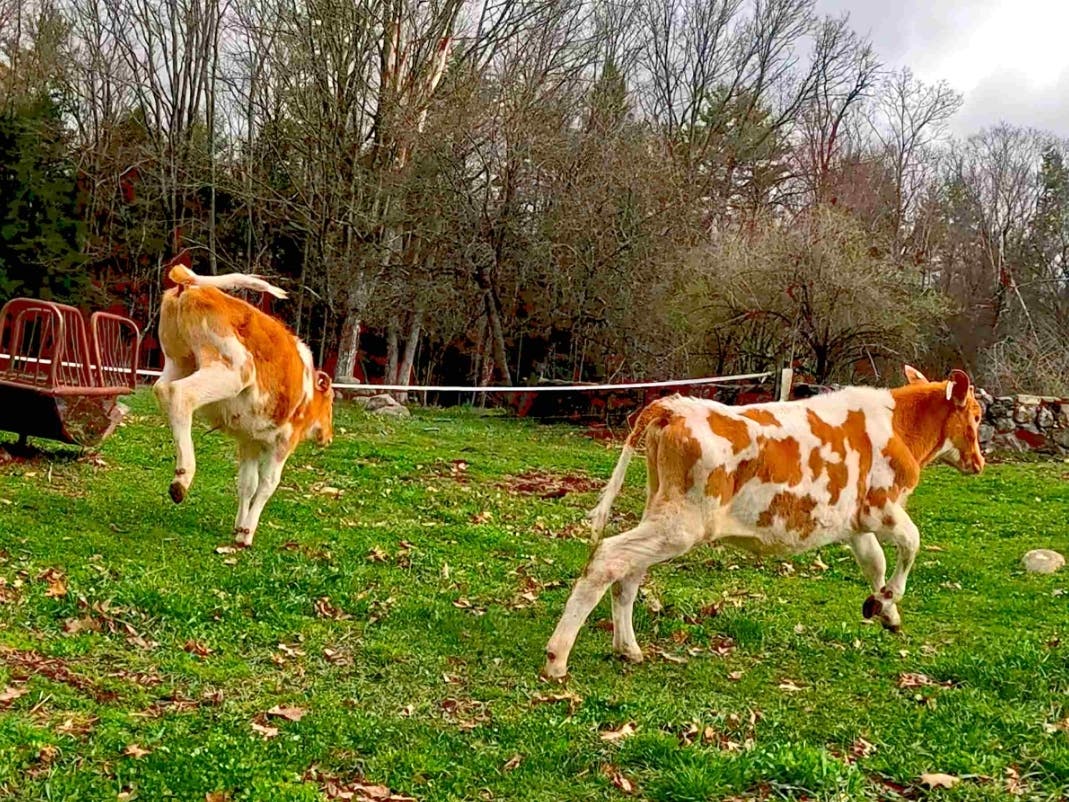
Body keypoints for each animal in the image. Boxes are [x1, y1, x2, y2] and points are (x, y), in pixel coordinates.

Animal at [153, 254, 334, 547]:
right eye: (330, 401)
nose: (329, 435)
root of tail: (192, 285)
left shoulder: (249, 440)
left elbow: (247, 484)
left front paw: (239, 527)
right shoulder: (284, 442)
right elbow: (268, 483)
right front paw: (247, 533)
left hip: (177, 359)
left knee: (162, 389)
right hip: (233, 369)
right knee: (181, 394)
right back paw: (183, 477)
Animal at [543, 366, 984, 678]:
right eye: (977, 416)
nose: (979, 462)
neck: (899, 427)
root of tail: (672, 406)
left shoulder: (855, 522)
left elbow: (873, 562)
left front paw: (884, 609)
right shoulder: (882, 507)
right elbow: (912, 542)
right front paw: (889, 599)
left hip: (662, 513)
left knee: (630, 571)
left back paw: (627, 649)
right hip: (683, 524)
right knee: (608, 557)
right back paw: (557, 658)